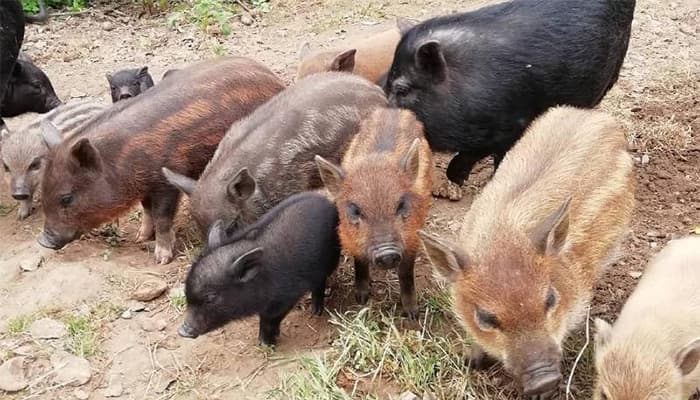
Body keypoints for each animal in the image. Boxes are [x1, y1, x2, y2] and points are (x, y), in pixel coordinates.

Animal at [37, 56, 284, 262]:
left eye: (67, 198)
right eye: (43, 191)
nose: (43, 241)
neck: (122, 159)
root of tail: (272, 76)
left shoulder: (167, 180)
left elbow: (163, 217)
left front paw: (161, 259)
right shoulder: (144, 185)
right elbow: (147, 210)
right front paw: (140, 237)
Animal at [179, 192, 340, 346]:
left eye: (210, 297)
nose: (182, 331)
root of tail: (327, 201)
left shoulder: (283, 299)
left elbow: (269, 320)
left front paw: (265, 344)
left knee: (319, 283)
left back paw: (315, 312)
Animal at [314, 107, 432, 318]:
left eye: (401, 205)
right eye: (355, 210)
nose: (387, 254)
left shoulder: (412, 235)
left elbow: (406, 272)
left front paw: (412, 315)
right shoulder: (350, 238)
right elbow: (359, 263)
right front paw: (361, 298)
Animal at [418, 106, 636, 396]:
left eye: (550, 299)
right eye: (485, 317)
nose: (544, 380)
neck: (502, 234)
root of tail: (597, 116)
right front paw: (471, 360)